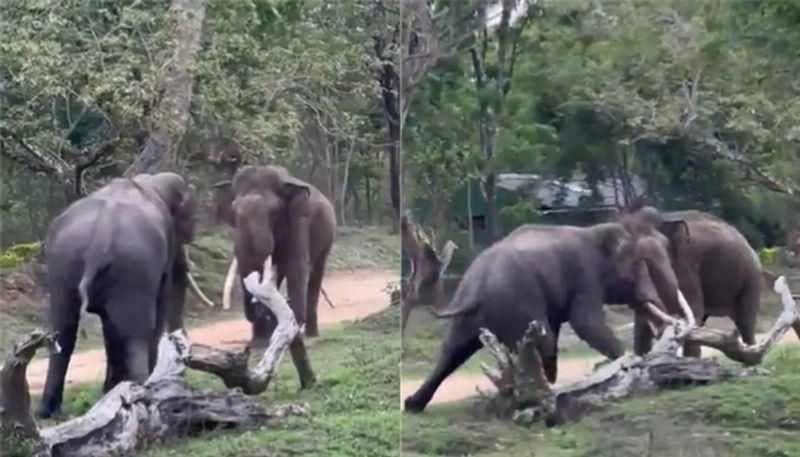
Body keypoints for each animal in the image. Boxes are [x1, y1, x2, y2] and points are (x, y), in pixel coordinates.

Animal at [39, 172, 205, 416]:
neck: (151, 181)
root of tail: (100, 239)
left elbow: (110, 327)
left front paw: (109, 390)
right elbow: (159, 304)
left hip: (62, 264)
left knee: (64, 331)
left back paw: (47, 411)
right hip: (134, 267)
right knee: (138, 332)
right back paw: (145, 390)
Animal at [212, 164, 334, 388]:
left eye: (274, 211)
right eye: (233, 211)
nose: (258, 311)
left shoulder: (298, 222)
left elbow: (297, 267)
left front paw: (294, 332)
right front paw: (260, 342)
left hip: (327, 239)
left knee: (315, 274)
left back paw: (310, 334)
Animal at [406, 210, 688, 414]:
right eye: (638, 265)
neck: (595, 231)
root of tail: (476, 290)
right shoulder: (583, 275)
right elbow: (586, 324)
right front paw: (626, 363)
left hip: (470, 317)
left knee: (452, 350)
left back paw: (412, 405)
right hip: (515, 306)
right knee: (539, 341)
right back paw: (545, 394)